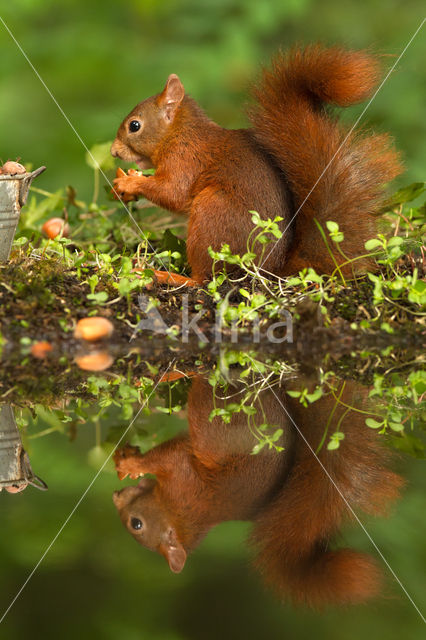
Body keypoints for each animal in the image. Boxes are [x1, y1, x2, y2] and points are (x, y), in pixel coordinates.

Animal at [110, 43, 402, 284]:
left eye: (134, 126)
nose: (113, 152)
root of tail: (271, 270)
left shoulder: (185, 159)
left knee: (205, 279)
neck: (178, 134)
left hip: (212, 213)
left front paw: (129, 182)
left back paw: (169, 276)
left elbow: (173, 193)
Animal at [113, 378, 402, 608]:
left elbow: (164, 456)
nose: (115, 497)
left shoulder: (181, 479)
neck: (179, 515)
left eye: (136, 524)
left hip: (217, 410)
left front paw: (132, 465)